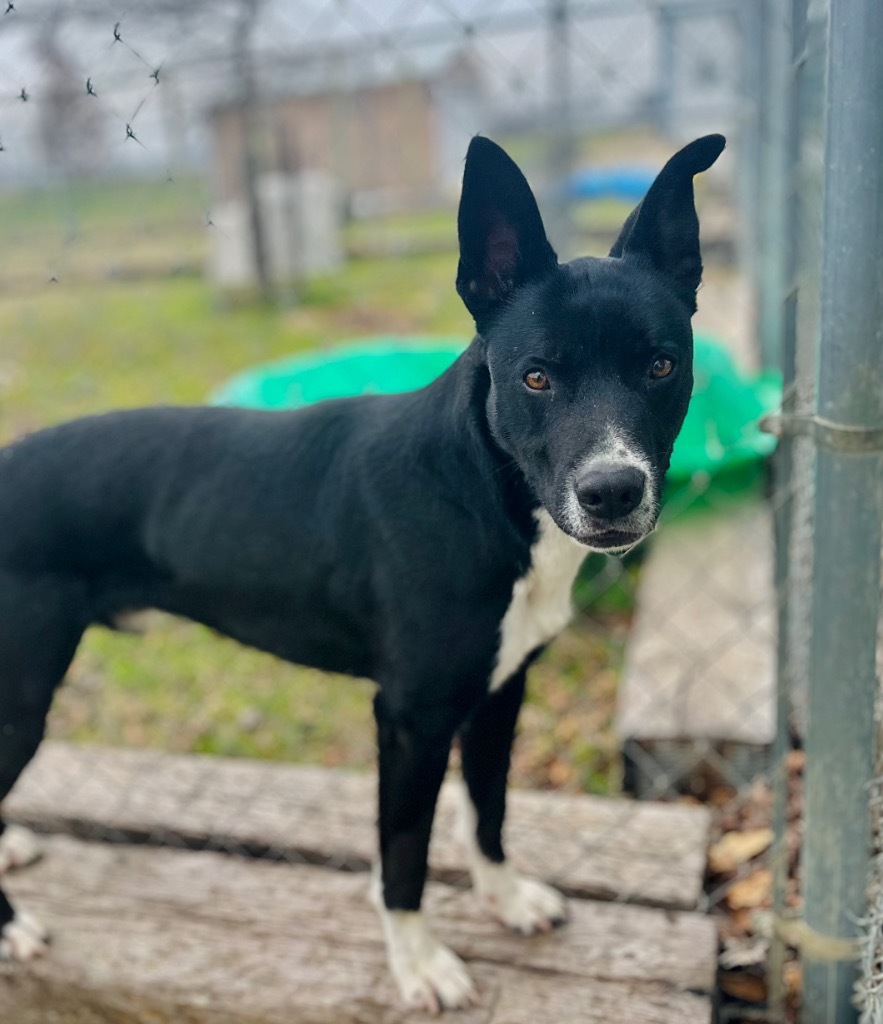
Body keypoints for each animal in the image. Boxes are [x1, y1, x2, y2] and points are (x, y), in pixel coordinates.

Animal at [0, 132, 725, 1011]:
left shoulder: (499, 694)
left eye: (660, 366)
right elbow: (403, 854)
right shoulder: (411, 719)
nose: (612, 490)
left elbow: (488, 812)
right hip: (20, 699)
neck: (481, 485)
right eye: (535, 376)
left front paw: (505, 899)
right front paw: (418, 964)